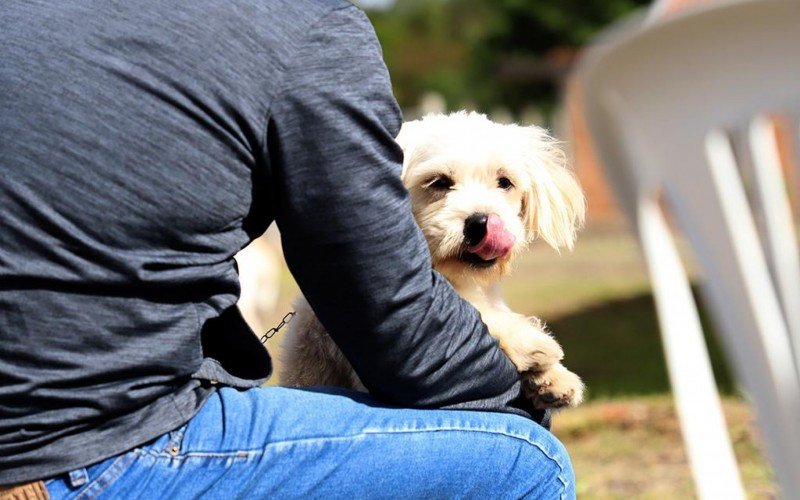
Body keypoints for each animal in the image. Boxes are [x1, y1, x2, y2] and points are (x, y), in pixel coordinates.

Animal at [282, 111, 588, 408]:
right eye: (439, 182)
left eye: (504, 182)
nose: (481, 223)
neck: (458, 280)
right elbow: (474, 318)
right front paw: (528, 342)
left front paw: (553, 379)